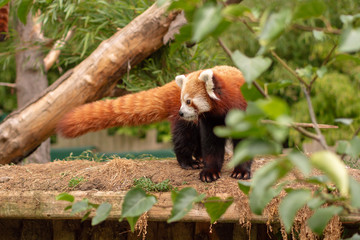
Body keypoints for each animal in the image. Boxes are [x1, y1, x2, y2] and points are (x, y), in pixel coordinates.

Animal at [57, 65, 252, 182]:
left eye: (188, 101)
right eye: (182, 101)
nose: (181, 111)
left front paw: (241, 171)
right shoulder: (209, 119)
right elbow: (211, 143)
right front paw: (209, 172)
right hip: (186, 122)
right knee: (184, 137)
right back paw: (188, 161)